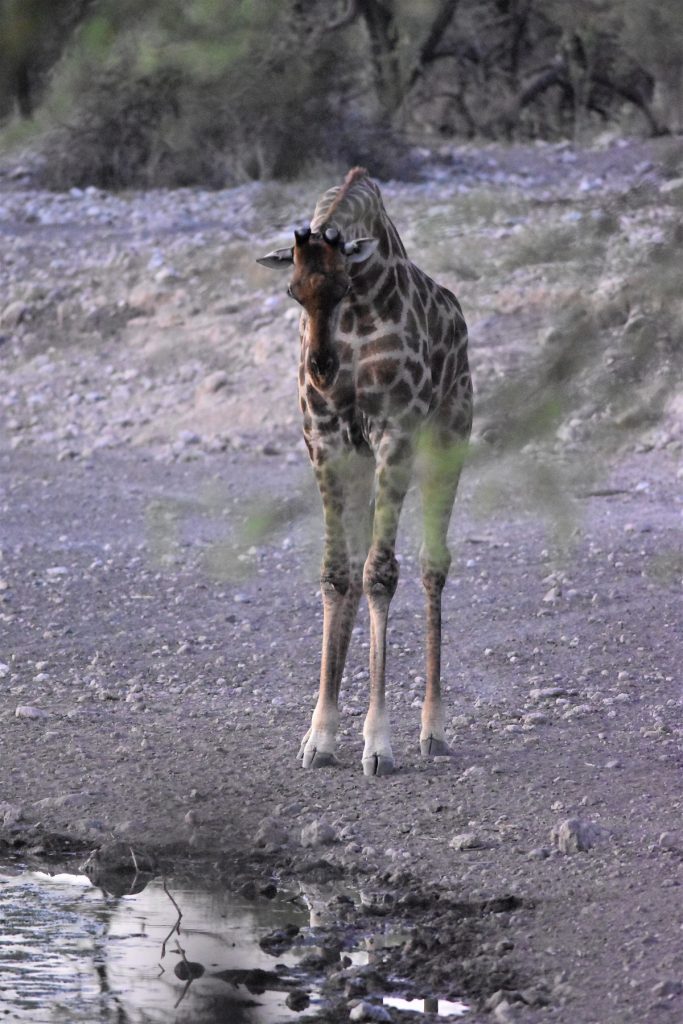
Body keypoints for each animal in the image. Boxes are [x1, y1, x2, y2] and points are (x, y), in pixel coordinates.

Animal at [259, 167, 473, 774]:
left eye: (342, 286)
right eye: (294, 292)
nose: (321, 368)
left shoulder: (394, 432)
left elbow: (381, 574)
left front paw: (378, 743)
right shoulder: (326, 439)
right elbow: (338, 575)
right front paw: (319, 738)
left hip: (449, 437)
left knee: (430, 565)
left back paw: (433, 730)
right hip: (360, 462)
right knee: (355, 569)